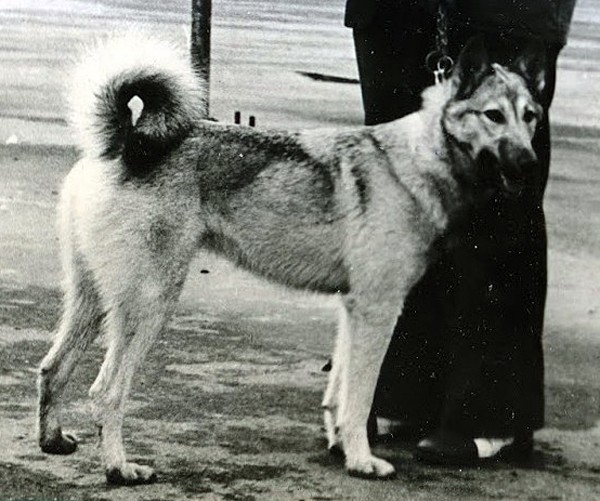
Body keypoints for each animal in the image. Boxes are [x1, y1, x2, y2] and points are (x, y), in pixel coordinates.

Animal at [37, 34, 545, 484]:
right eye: (493, 116)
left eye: (531, 117)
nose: (530, 163)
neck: (415, 160)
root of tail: (126, 141)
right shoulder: (378, 310)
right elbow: (360, 397)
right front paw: (363, 460)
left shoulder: (353, 308)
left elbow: (340, 392)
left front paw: (341, 445)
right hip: (149, 304)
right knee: (106, 391)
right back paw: (119, 468)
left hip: (91, 301)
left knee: (53, 369)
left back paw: (54, 440)